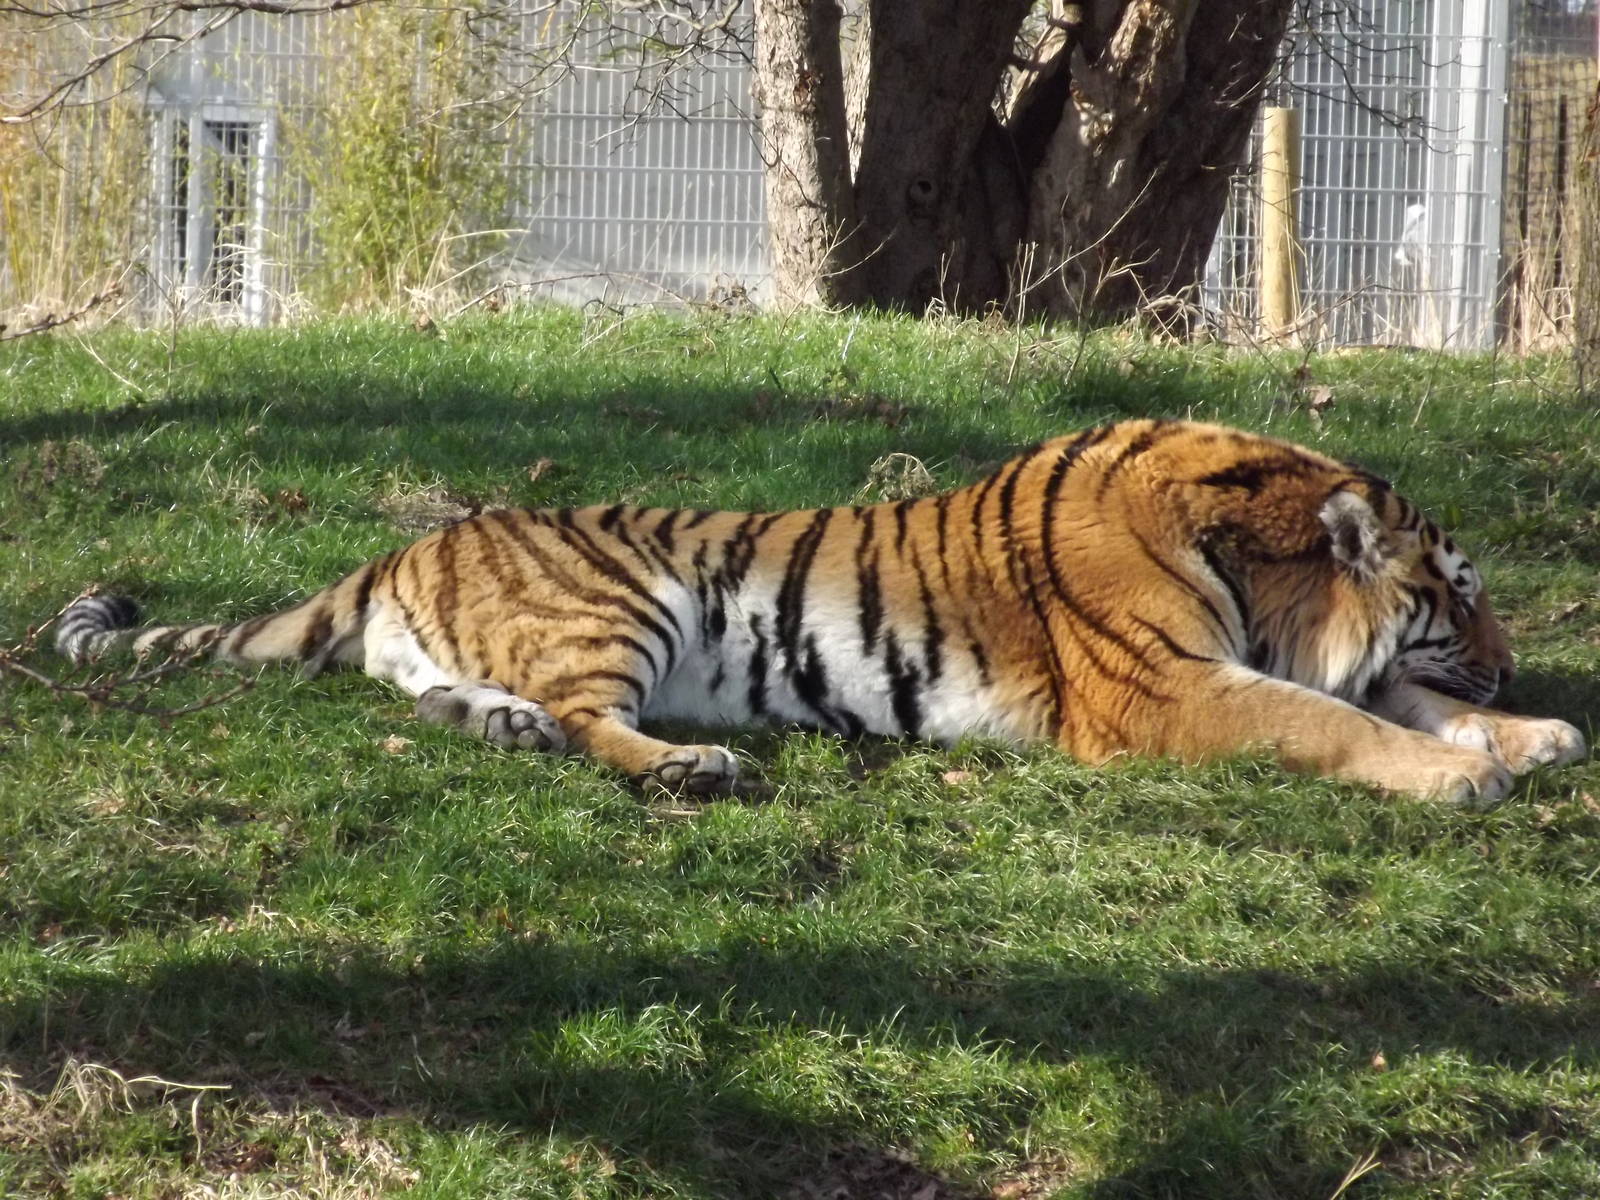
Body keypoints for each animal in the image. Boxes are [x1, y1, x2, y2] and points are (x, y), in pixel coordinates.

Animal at [54, 418, 1585, 804]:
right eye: (1459, 593)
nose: (1516, 663)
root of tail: (414, 541)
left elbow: (1394, 694)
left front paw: (1532, 738)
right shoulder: (1167, 686)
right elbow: (1329, 721)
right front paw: (1465, 775)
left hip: (477, 655)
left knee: (461, 704)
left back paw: (506, 733)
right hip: (623, 602)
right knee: (594, 721)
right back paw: (689, 764)